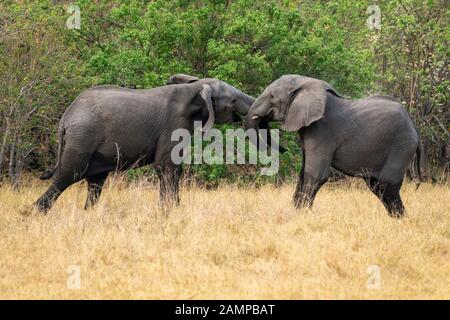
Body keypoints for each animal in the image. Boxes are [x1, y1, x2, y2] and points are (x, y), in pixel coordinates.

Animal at [32, 75, 253, 214]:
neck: (194, 88)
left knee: (95, 183)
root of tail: (65, 119)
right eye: (233, 100)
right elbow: (168, 167)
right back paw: (36, 214)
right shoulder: (173, 124)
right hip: (81, 140)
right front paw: (170, 211)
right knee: (66, 178)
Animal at [244, 75, 420, 218]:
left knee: (386, 185)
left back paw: (400, 220)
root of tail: (414, 128)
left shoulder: (321, 132)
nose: (283, 149)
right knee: (377, 186)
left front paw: (303, 214)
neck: (304, 82)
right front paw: (296, 211)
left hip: (401, 146)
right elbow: (303, 173)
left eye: (272, 96)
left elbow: (315, 175)